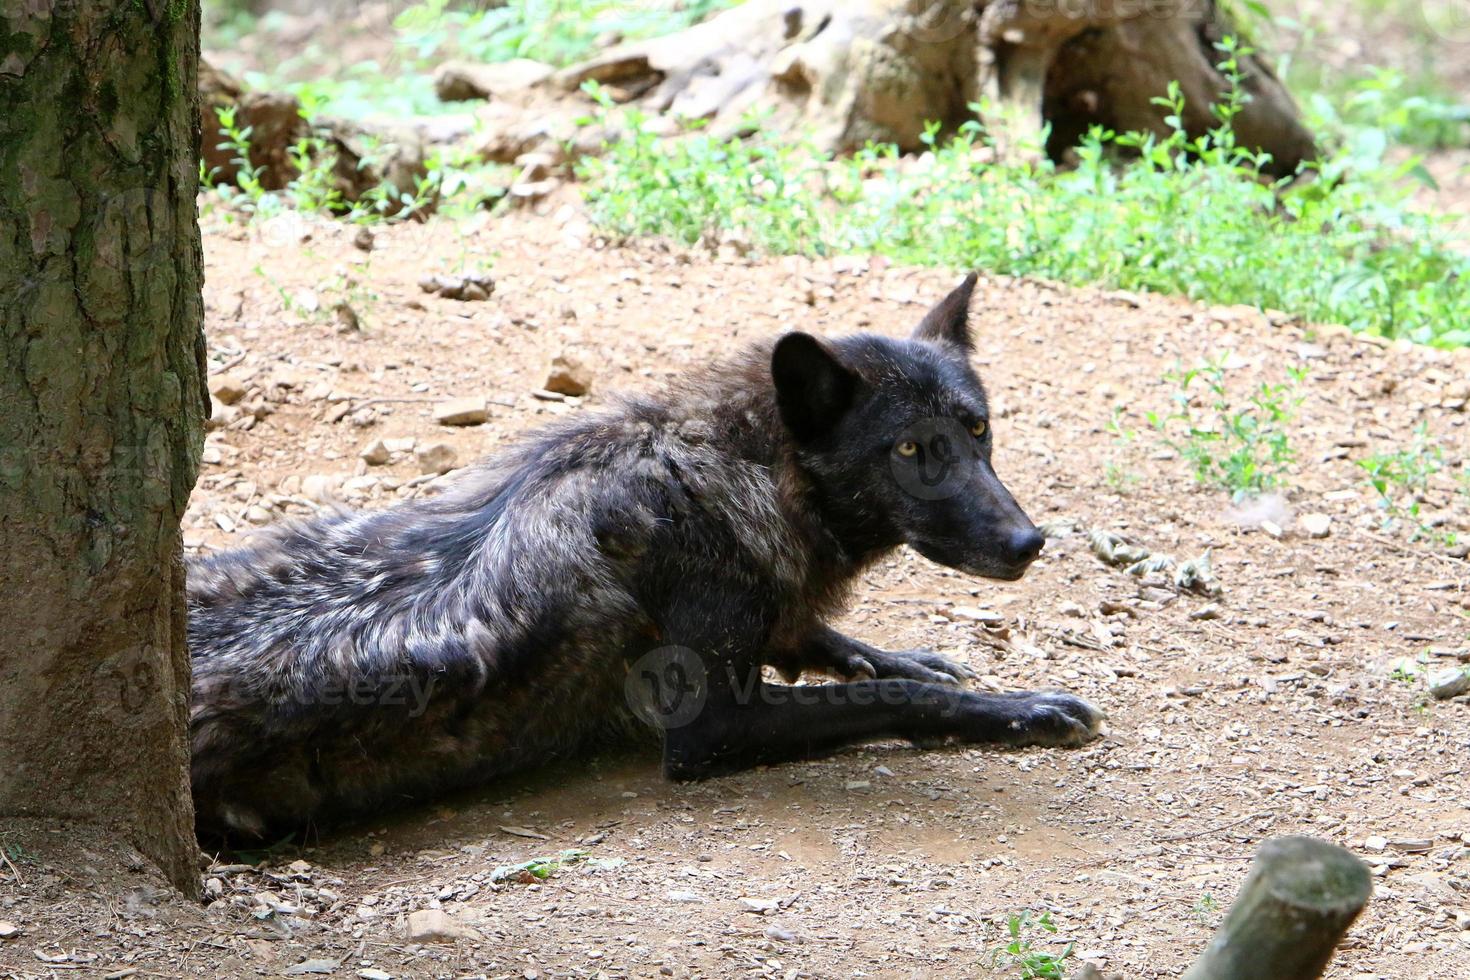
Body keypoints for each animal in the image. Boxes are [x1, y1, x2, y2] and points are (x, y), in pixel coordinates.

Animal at [186, 274, 1105, 834]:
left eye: (979, 430)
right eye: (913, 450)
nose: (1028, 542)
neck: (729, 470)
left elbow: (842, 648)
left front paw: (917, 659)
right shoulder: (713, 727)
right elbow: (892, 701)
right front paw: (1017, 708)